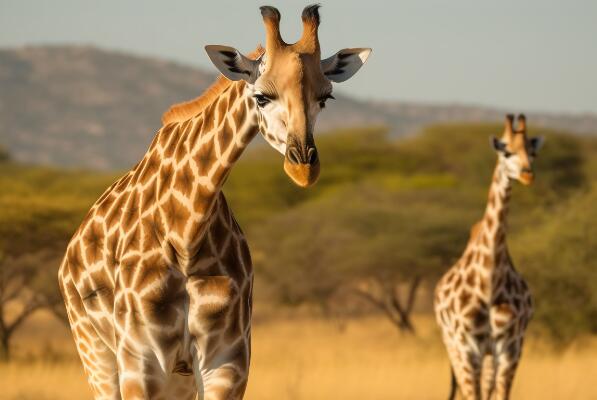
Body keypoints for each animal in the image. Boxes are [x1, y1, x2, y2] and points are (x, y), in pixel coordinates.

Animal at [58, 5, 370, 400]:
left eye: (325, 97)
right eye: (261, 96)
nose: (302, 168)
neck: (186, 233)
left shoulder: (228, 359)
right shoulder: (140, 361)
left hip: (178, 377)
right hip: (96, 354)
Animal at [434, 115, 544, 400]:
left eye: (533, 152)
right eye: (506, 152)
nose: (528, 175)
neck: (489, 283)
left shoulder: (510, 346)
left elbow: (500, 394)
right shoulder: (468, 346)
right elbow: (474, 395)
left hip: (490, 354)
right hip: (453, 345)